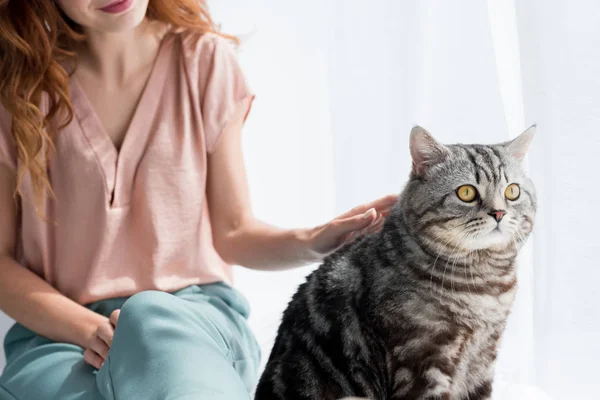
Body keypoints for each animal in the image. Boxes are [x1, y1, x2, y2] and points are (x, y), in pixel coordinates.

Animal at [255, 126, 536, 400]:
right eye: (466, 192)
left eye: (512, 191)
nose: (499, 212)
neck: (483, 283)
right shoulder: (420, 360)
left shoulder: (484, 357)